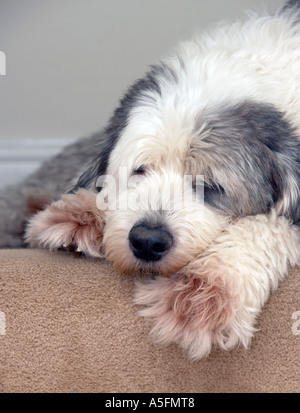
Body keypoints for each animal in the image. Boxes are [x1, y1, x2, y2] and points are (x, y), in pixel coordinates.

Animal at [24, 1, 300, 358]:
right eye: (140, 169)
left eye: (211, 186)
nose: (147, 241)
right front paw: (78, 214)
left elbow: (265, 226)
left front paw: (203, 294)